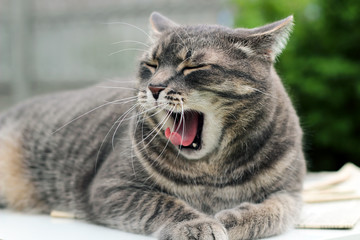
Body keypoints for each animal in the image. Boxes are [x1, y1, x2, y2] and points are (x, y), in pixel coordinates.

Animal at [0, 11, 306, 240]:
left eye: (193, 66)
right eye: (151, 64)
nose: (154, 87)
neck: (209, 172)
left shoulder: (290, 194)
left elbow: (270, 211)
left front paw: (231, 219)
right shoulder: (112, 187)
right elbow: (163, 204)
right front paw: (197, 224)